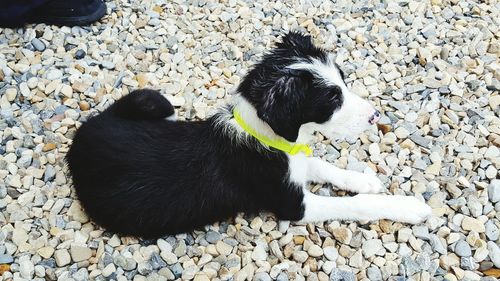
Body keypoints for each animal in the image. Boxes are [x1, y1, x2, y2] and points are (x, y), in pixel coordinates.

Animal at [67, 33, 434, 238]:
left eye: (343, 82)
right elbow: (356, 204)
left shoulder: (294, 161)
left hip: (152, 105)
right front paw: (407, 206)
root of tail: (87, 129)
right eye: (332, 100)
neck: (268, 137)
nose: (375, 117)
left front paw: (362, 179)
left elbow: (321, 165)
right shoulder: (291, 204)